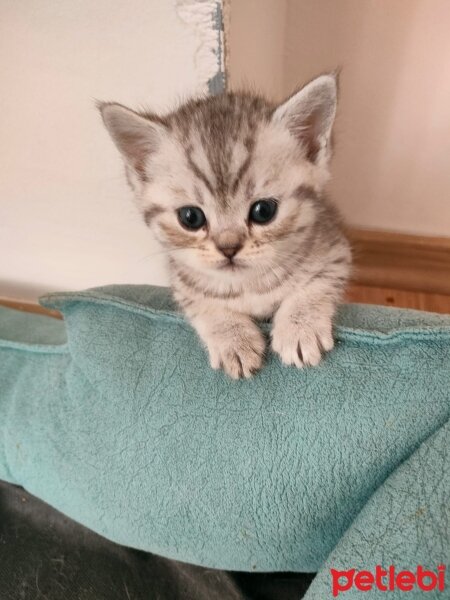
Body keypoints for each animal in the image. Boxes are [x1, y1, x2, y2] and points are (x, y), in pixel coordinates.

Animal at [98, 72, 352, 378]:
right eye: (191, 218)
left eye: (264, 211)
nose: (228, 248)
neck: (249, 286)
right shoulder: (183, 282)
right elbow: (204, 303)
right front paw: (233, 339)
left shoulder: (334, 249)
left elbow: (316, 283)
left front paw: (300, 327)